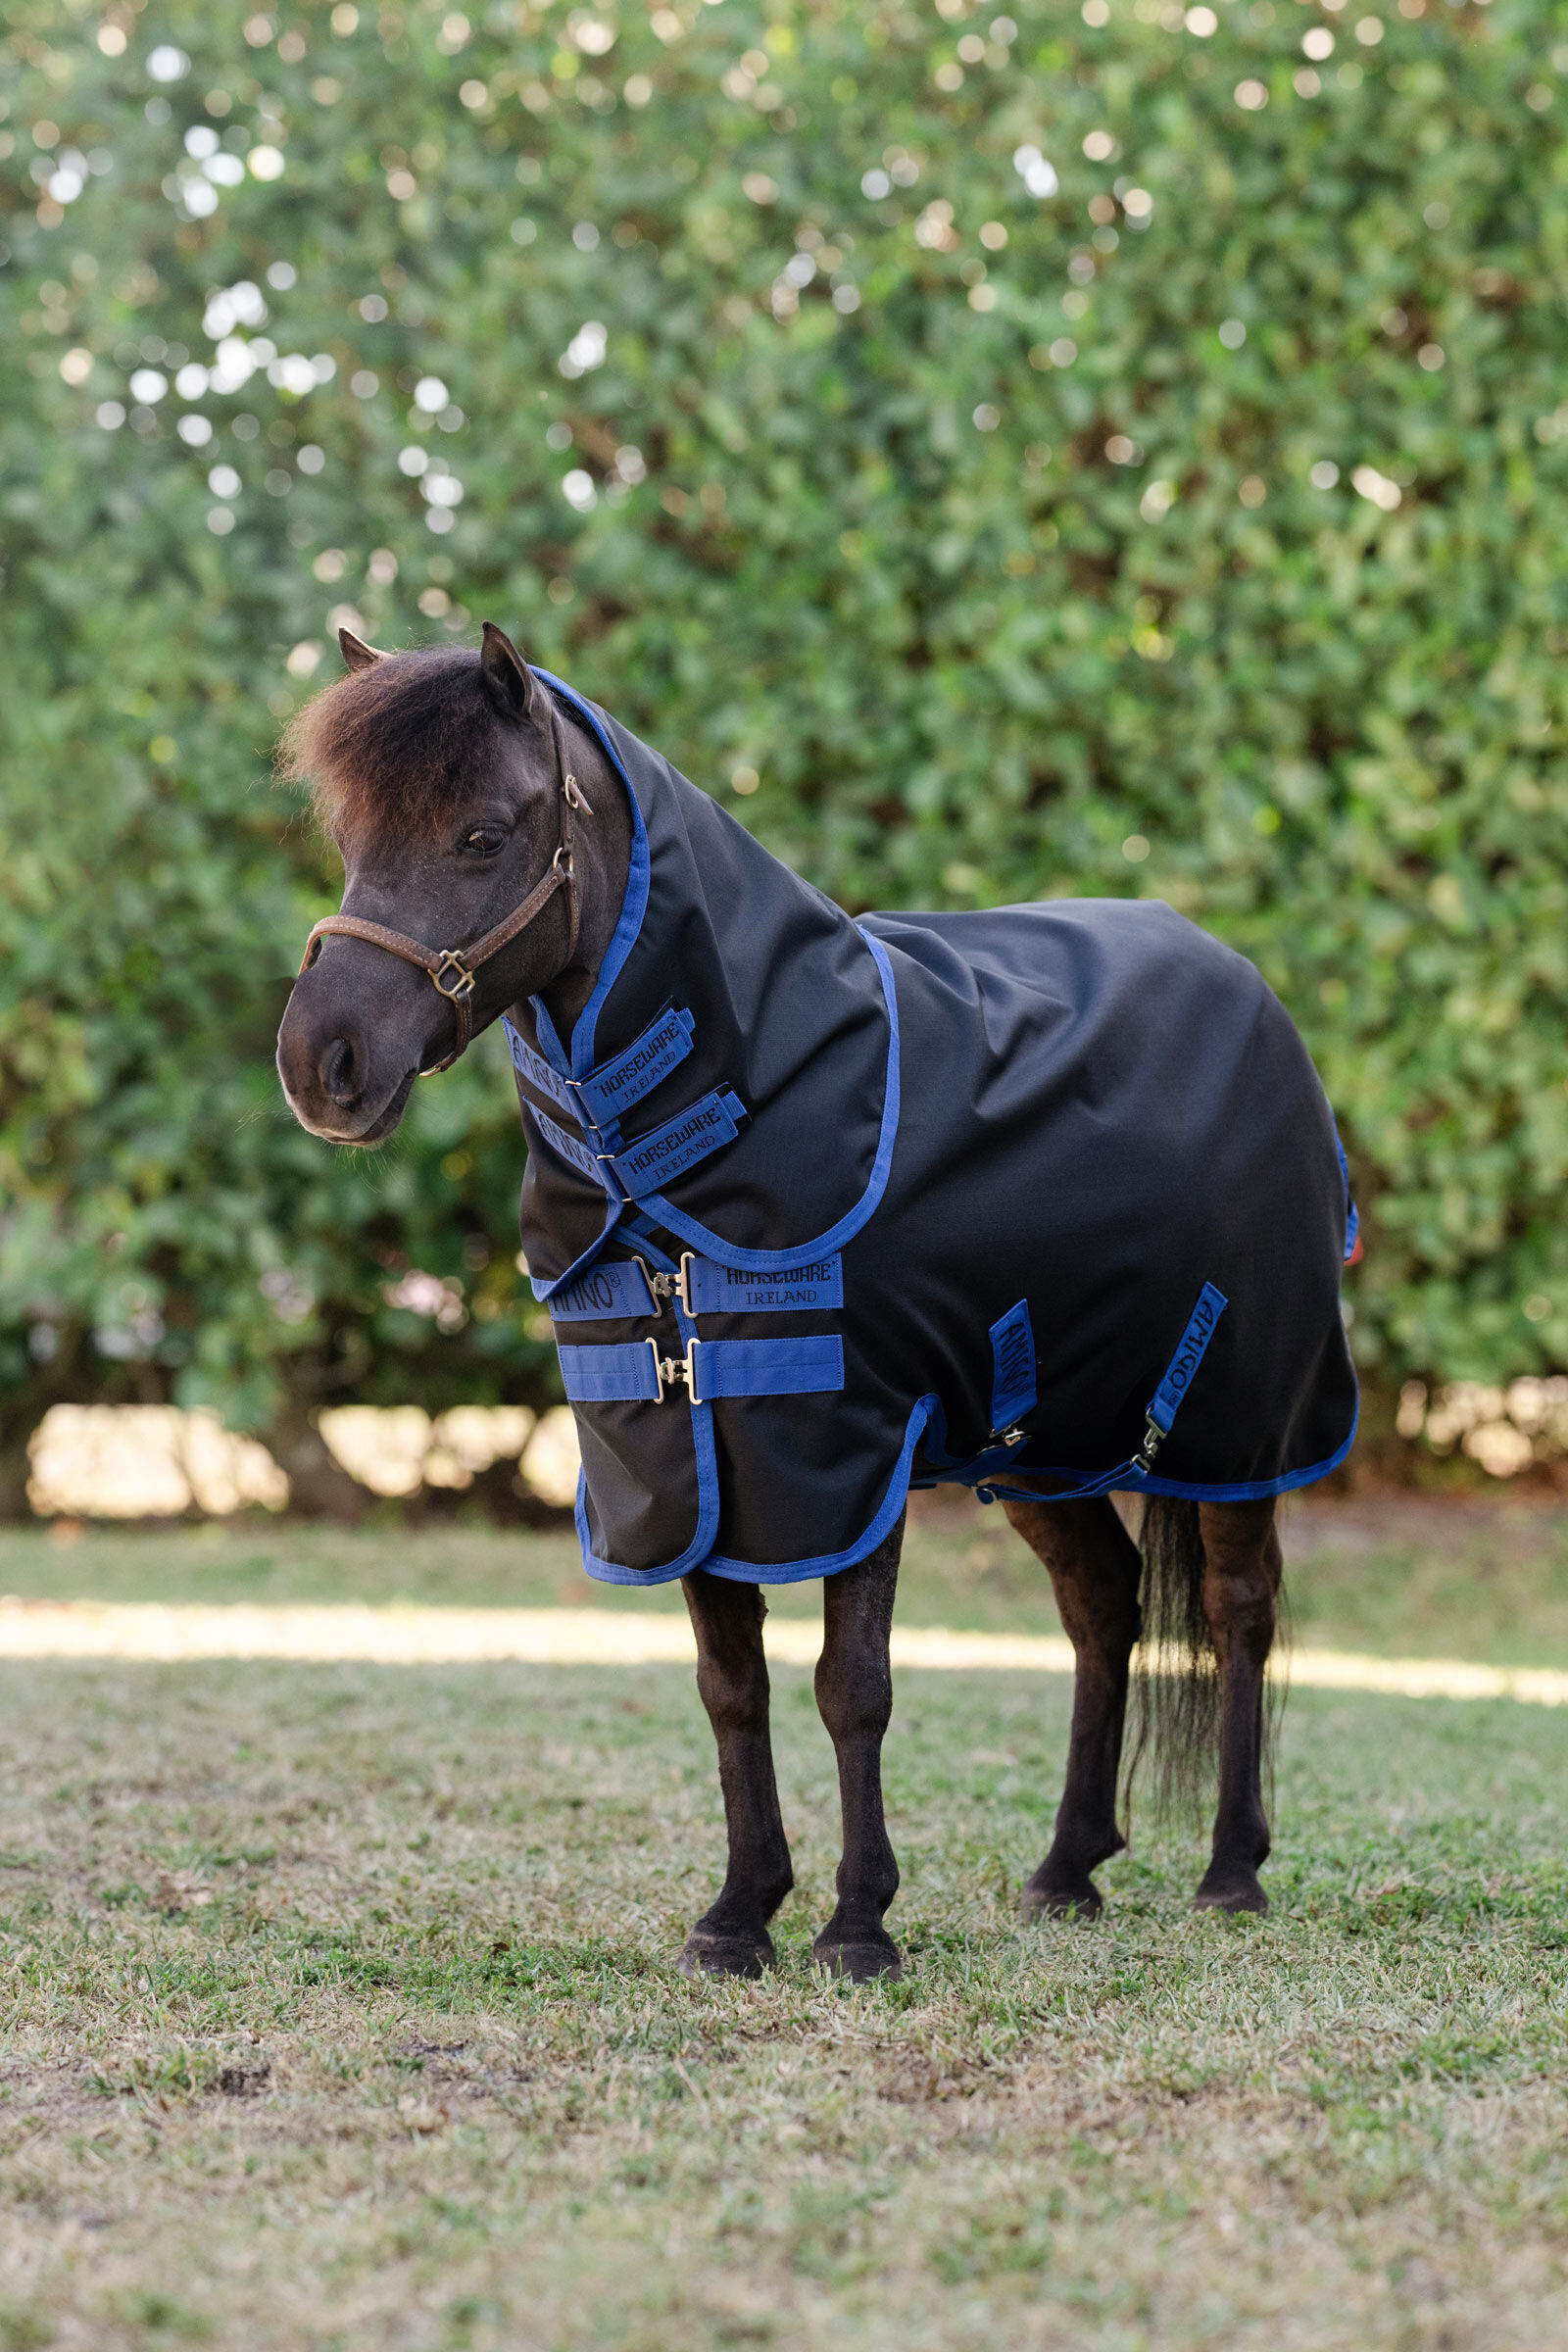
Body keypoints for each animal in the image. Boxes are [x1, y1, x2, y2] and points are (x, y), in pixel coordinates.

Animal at [276, 623, 1358, 1983]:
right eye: (351, 838)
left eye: (480, 833)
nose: (321, 1064)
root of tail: (1248, 988)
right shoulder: (680, 1459)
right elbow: (730, 1686)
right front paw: (739, 1915)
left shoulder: (854, 1447)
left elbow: (853, 1685)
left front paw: (857, 1926)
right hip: (1035, 1445)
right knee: (1101, 1604)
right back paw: (1065, 1870)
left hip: (1234, 1421)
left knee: (1235, 1608)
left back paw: (1230, 1873)